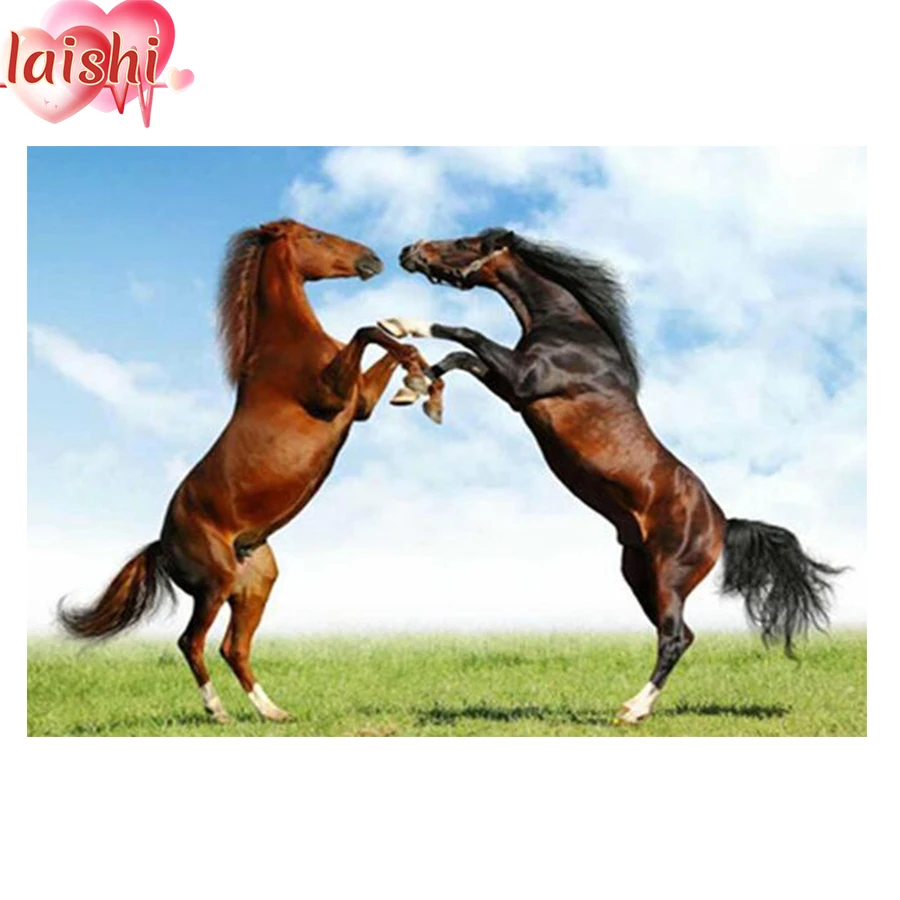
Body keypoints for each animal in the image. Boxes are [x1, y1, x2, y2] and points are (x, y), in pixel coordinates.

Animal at [58, 218, 436, 724]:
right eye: (315, 236)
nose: (372, 259)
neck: (285, 344)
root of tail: (162, 543)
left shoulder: (360, 405)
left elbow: (386, 343)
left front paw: (417, 373)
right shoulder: (333, 396)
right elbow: (365, 332)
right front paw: (417, 375)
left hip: (255, 585)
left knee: (233, 647)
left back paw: (272, 711)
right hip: (213, 586)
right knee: (192, 642)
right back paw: (217, 710)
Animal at [380, 228, 844, 724]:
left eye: (465, 243)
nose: (409, 251)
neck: (569, 331)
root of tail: (722, 524)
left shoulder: (524, 381)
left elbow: (464, 336)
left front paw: (401, 326)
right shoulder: (511, 387)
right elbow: (459, 357)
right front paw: (416, 390)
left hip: (670, 574)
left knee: (673, 637)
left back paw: (633, 710)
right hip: (639, 575)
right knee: (681, 635)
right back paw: (639, 706)